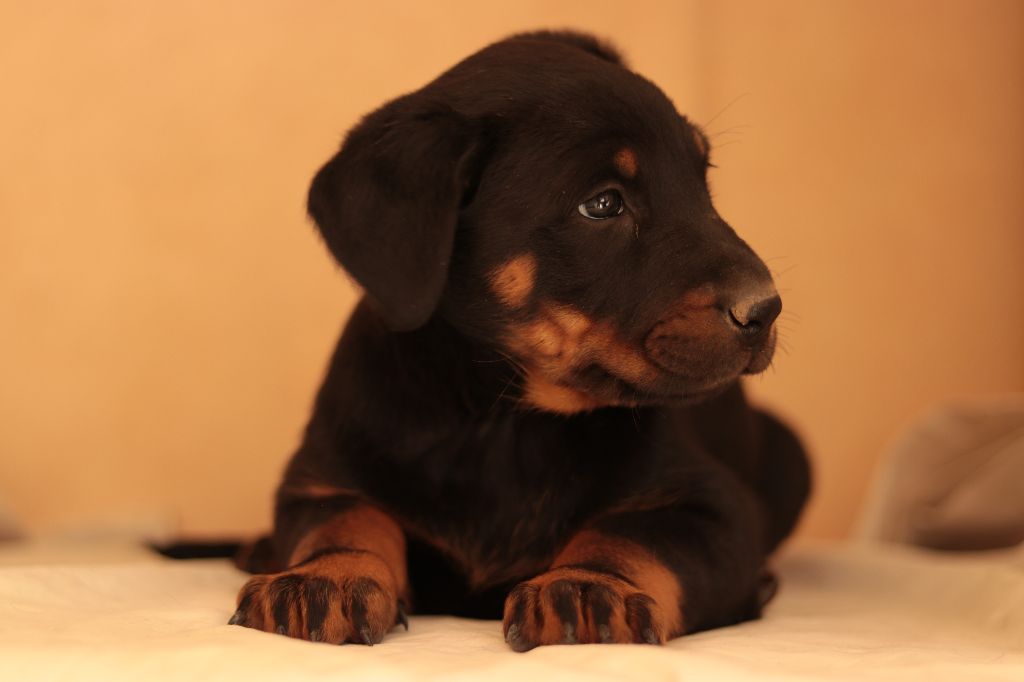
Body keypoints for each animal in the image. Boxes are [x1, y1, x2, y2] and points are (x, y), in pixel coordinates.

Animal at [226, 30, 811, 651]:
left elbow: (632, 534)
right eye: (602, 204)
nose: (765, 309)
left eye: (703, 181)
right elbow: (347, 517)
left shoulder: (716, 509)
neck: (500, 419)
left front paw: (588, 584)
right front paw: (323, 576)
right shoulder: (317, 480)